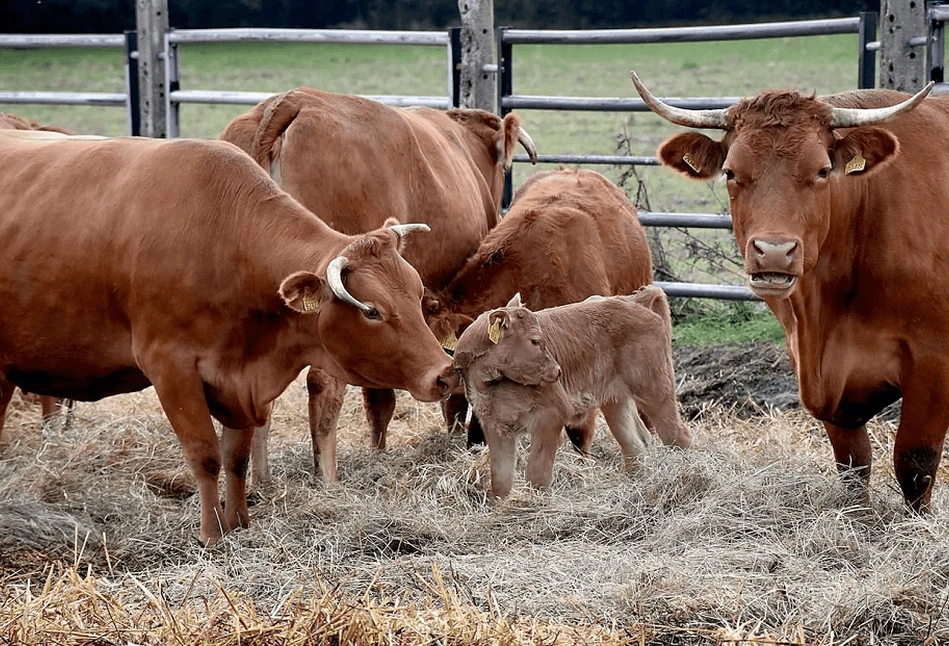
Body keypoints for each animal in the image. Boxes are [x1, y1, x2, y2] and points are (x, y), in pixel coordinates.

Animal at [0, 132, 460, 548]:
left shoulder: (240, 380)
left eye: (417, 294)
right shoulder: (171, 368)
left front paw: (239, 523)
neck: (225, 244)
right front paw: (211, 534)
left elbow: (236, 456)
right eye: (372, 311)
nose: (444, 374)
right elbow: (205, 455)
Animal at [452, 290, 688, 502]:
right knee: (635, 444)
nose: (557, 371)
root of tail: (632, 300)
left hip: (655, 386)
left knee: (677, 435)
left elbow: (537, 475)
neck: (492, 386)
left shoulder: (550, 415)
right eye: (535, 341)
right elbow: (501, 479)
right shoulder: (495, 425)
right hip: (616, 400)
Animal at [628, 71, 948, 512]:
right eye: (730, 172)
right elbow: (853, 464)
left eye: (822, 171)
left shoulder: (933, 360)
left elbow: (915, 462)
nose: (774, 251)